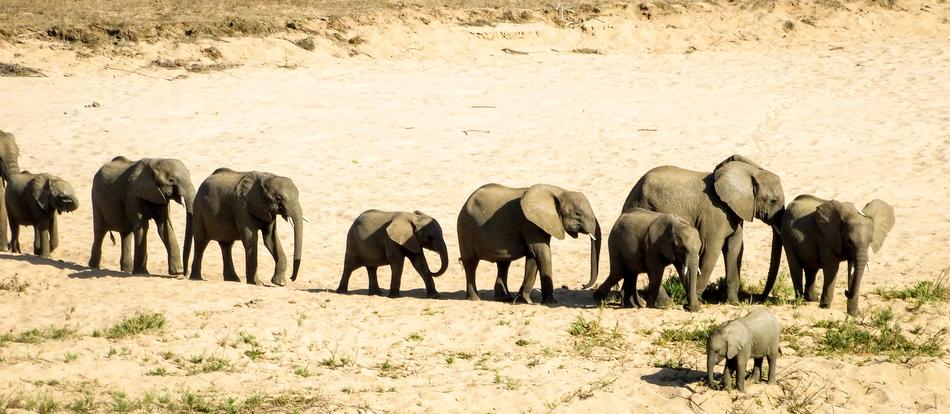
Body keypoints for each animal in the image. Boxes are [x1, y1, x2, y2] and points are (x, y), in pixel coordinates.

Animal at [457, 183, 601, 304]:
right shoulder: (530, 224)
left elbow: (533, 256)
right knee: (471, 263)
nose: (583, 285)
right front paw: (550, 302)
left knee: (503, 264)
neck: (558, 190)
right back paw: (475, 299)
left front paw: (524, 300)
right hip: (465, 229)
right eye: (578, 214)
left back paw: (505, 298)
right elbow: (542, 253)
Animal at [623, 154, 785, 304]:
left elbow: (735, 248)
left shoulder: (734, 211)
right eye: (773, 201)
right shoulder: (714, 213)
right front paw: (695, 301)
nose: (759, 300)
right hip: (646, 207)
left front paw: (734, 303)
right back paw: (663, 303)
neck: (748, 173)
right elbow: (711, 250)